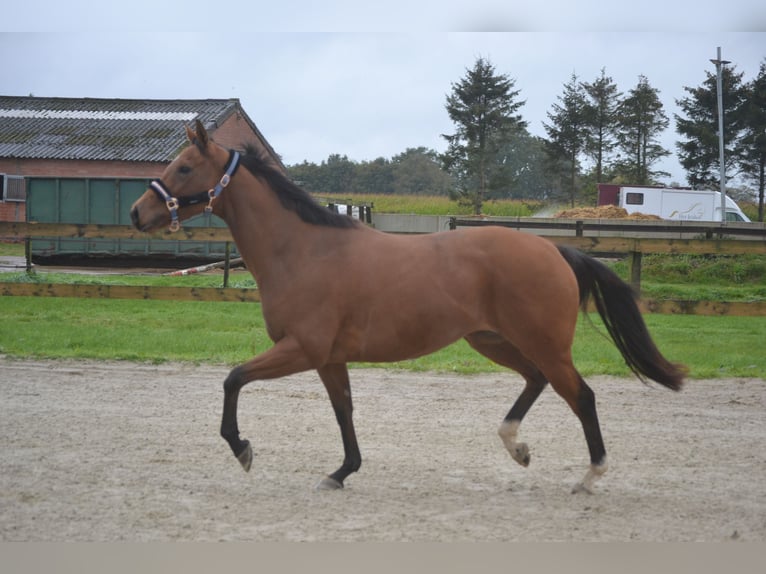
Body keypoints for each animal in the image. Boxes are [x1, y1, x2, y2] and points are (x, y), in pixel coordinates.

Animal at [129, 121, 688, 496]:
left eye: (183, 166)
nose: (137, 213)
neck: (304, 250)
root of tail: (556, 251)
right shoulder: (329, 358)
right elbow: (344, 411)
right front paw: (342, 472)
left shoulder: (302, 349)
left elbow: (233, 380)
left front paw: (242, 449)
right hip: (493, 340)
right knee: (537, 381)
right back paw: (517, 447)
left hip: (542, 344)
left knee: (582, 396)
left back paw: (590, 476)